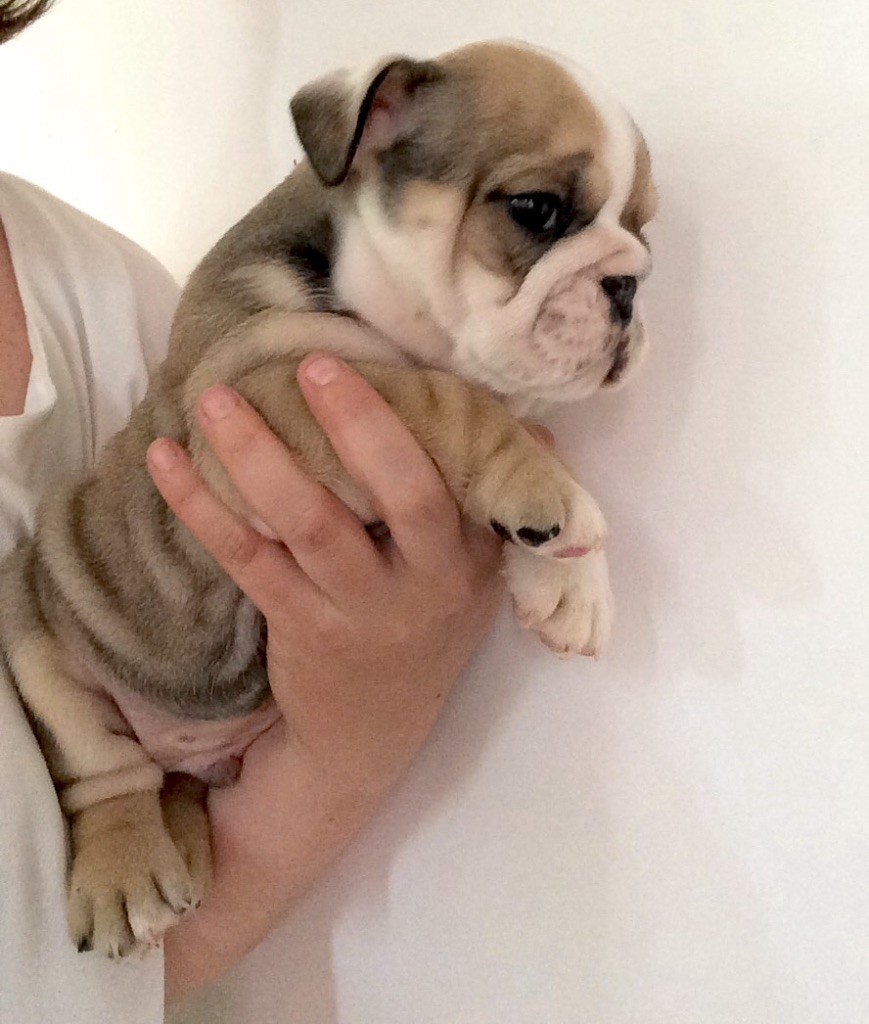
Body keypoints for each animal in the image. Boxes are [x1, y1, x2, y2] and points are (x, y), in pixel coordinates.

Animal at [0, 40, 656, 957]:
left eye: (644, 227)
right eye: (537, 210)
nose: (632, 284)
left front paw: (570, 581)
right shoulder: (271, 393)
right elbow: (445, 399)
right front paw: (552, 494)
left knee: (170, 784)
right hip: (30, 632)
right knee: (104, 774)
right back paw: (128, 870)